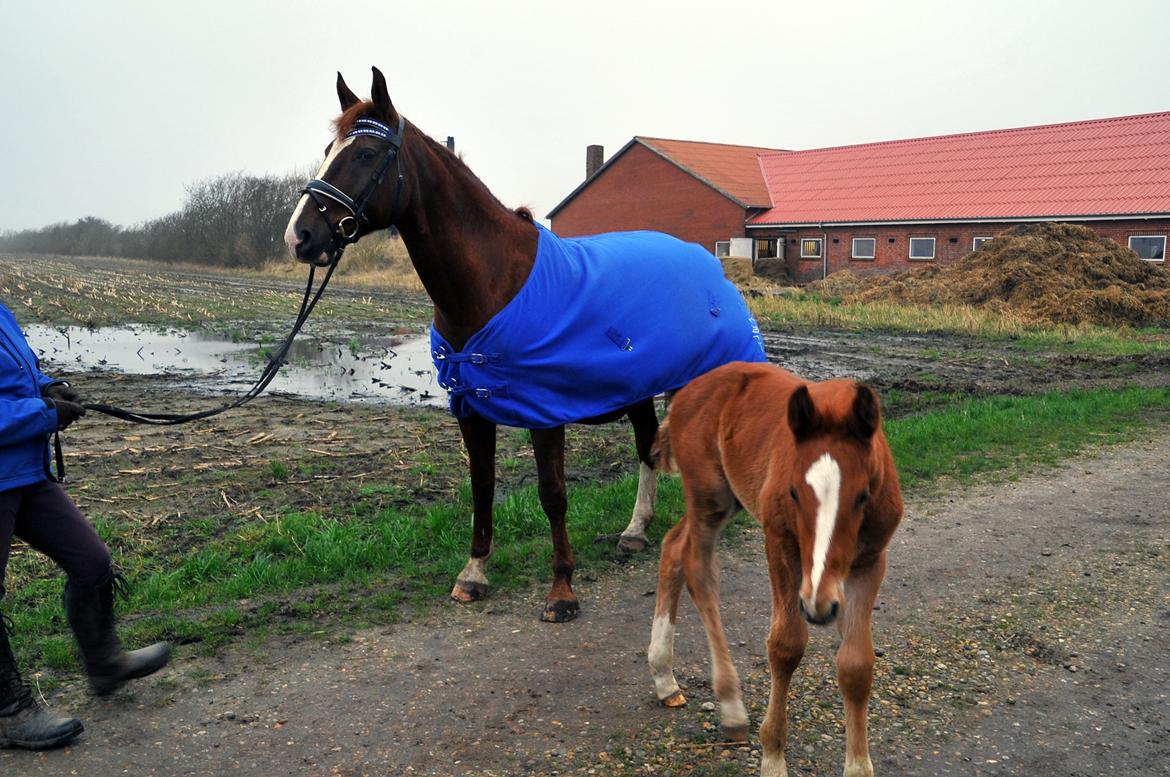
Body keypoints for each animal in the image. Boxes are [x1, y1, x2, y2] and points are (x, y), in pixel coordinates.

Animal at [286, 69, 762, 622]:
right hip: (639, 389)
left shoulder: (545, 410)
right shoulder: (471, 408)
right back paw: (634, 532)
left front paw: (562, 591)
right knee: (647, 447)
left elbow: (552, 494)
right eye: (329, 149)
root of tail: (709, 265)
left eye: (364, 153)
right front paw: (473, 574)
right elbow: (482, 487)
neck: (493, 281)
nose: (299, 236)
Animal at [645, 362, 898, 777]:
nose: (818, 606)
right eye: (793, 492)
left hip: (727, 498)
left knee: (673, 546)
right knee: (697, 569)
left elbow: (856, 665)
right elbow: (786, 646)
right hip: (709, 497)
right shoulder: (780, 545)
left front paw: (858, 766)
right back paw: (730, 706)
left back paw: (664, 677)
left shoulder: (870, 561)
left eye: (863, 495)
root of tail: (686, 392)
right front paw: (773, 757)